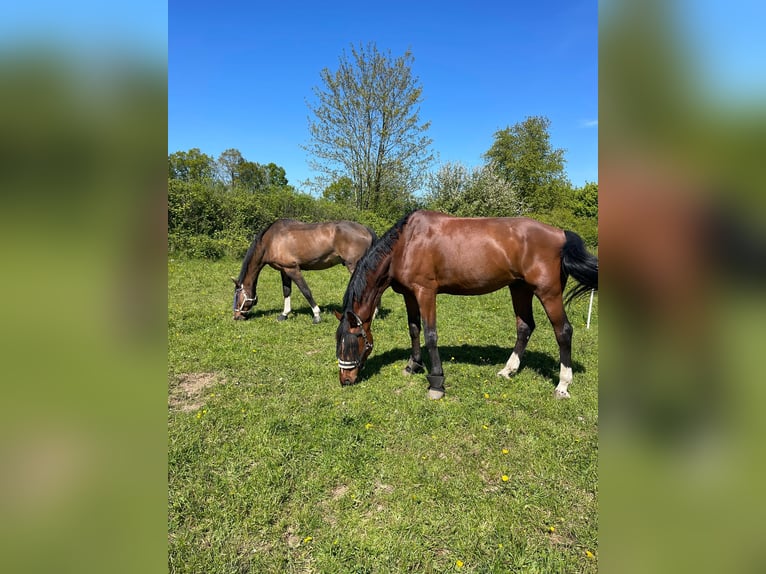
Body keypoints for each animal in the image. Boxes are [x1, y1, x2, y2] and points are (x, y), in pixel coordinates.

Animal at [232, 219, 377, 322]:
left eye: (237, 296)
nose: (236, 316)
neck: (271, 240)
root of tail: (366, 230)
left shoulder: (293, 269)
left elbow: (306, 291)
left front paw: (317, 315)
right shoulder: (284, 270)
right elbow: (286, 291)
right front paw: (284, 314)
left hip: (354, 266)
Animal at [334, 210, 598, 399]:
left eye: (352, 342)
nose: (345, 380)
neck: (406, 243)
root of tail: (561, 234)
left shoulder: (425, 292)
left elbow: (430, 334)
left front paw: (436, 383)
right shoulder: (409, 294)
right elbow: (414, 329)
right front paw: (413, 365)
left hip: (548, 293)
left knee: (563, 331)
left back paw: (563, 385)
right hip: (520, 289)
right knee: (525, 327)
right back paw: (508, 370)